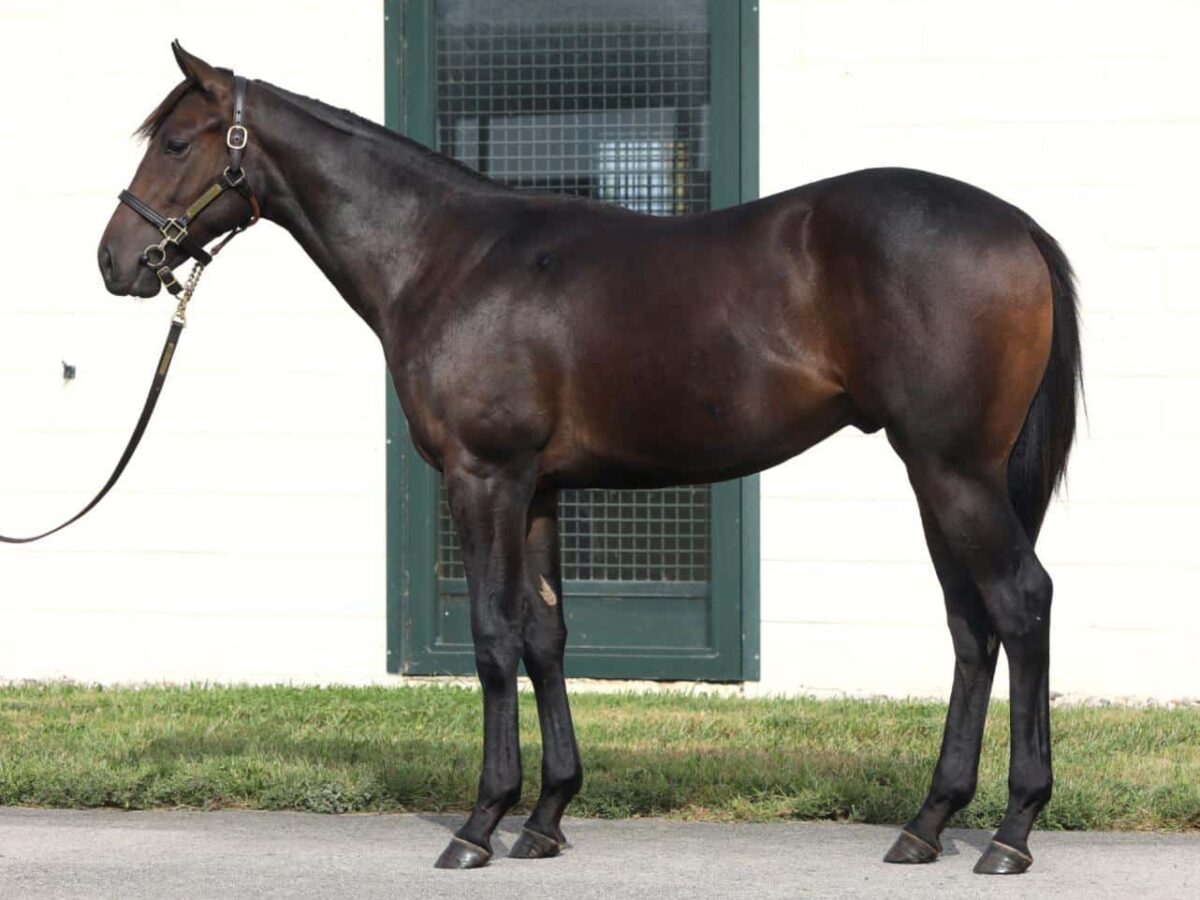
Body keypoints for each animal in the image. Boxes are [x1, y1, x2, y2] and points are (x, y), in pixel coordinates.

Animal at [98, 45, 1084, 878]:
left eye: (177, 141)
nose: (116, 261)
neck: (446, 257)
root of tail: (1018, 227)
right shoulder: (538, 489)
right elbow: (545, 636)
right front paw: (545, 817)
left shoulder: (483, 476)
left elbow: (493, 637)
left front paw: (479, 823)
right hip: (939, 477)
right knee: (971, 627)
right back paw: (928, 824)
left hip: (953, 471)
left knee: (1021, 603)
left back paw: (1011, 831)